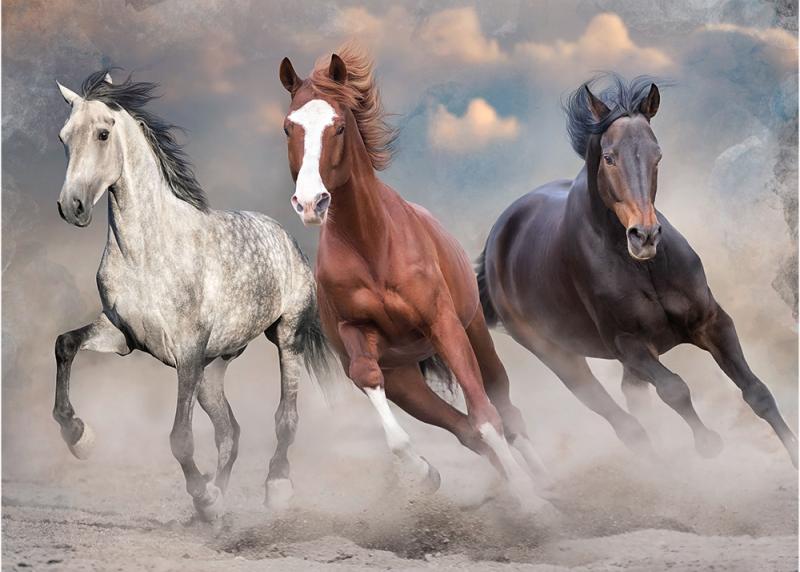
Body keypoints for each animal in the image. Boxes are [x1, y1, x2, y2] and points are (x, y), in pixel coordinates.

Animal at [53, 70, 330, 520]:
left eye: (101, 134)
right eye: (64, 137)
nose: (71, 207)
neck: (147, 252)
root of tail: (286, 238)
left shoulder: (186, 350)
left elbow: (180, 438)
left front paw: (201, 494)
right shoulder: (122, 335)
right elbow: (65, 344)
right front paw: (79, 437)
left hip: (286, 338)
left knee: (285, 418)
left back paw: (276, 488)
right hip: (211, 370)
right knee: (230, 431)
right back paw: (218, 499)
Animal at [276, 44, 549, 507]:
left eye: (338, 127)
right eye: (288, 127)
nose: (311, 203)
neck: (371, 243)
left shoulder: (444, 325)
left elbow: (487, 415)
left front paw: (533, 499)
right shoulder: (356, 334)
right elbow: (369, 380)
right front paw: (423, 473)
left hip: (475, 334)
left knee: (503, 408)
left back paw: (544, 486)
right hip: (406, 382)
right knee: (463, 429)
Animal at [477, 73, 797, 467]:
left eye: (657, 154)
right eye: (609, 157)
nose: (644, 235)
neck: (643, 268)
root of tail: (496, 244)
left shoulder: (712, 322)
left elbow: (757, 392)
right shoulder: (630, 345)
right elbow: (675, 388)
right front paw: (708, 443)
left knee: (632, 400)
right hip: (561, 359)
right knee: (624, 422)